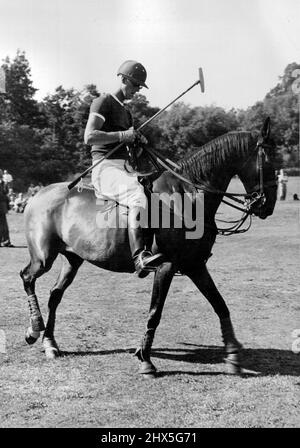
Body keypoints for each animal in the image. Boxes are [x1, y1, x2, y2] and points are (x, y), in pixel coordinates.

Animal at [19, 117, 276, 376]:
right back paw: (34, 329)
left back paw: (50, 343)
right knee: (27, 276)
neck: (189, 198)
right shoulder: (166, 265)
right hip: (43, 256)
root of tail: (37, 193)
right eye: (269, 160)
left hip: (73, 258)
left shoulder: (195, 265)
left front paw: (233, 355)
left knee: (55, 294)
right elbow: (155, 312)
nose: (268, 205)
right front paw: (145, 359)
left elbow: (221, 305)